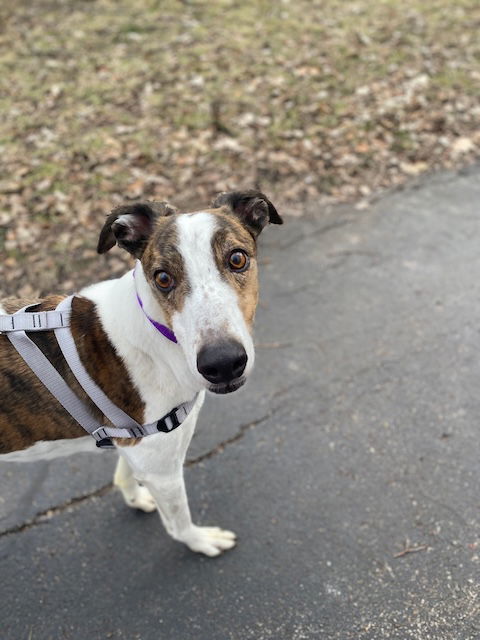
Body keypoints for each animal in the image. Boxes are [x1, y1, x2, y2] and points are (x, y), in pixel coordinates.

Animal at [0, 189, 284, 556]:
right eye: (162, 278)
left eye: (237, 259)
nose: (222, 364)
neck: (156, 336)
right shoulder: (162, 469)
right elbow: (178, 523)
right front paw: (200, 540)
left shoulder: (135, 442)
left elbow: (124, 473)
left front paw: (136, 498)